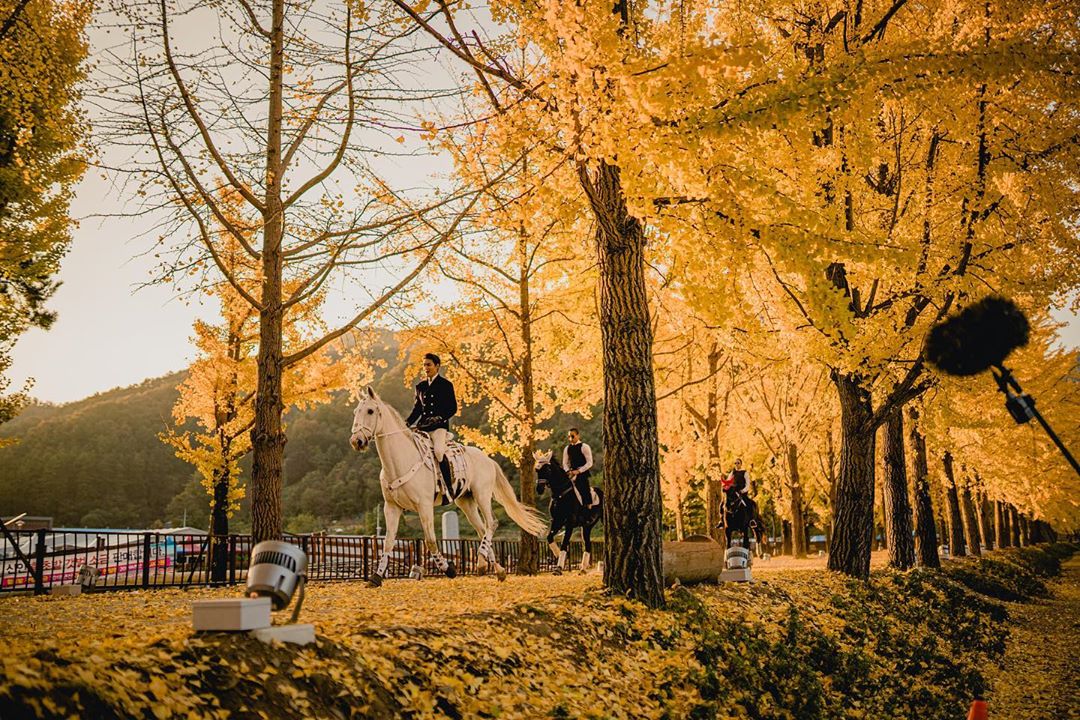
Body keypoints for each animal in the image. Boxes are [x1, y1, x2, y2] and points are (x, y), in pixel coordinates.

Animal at [347, 388, 544, 587]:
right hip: (466, 502)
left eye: (370, 411)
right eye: (355, 412)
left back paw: (482, 562)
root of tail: (487, 458)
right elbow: (387, 542)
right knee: (482, 529)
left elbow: (431, 541)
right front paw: (376, 577)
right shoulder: (391, 507)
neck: (400, 461)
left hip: (482, 494)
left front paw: (448, 569)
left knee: (491, 523)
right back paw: (497, 569)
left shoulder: (424, 506)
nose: (356, 441)